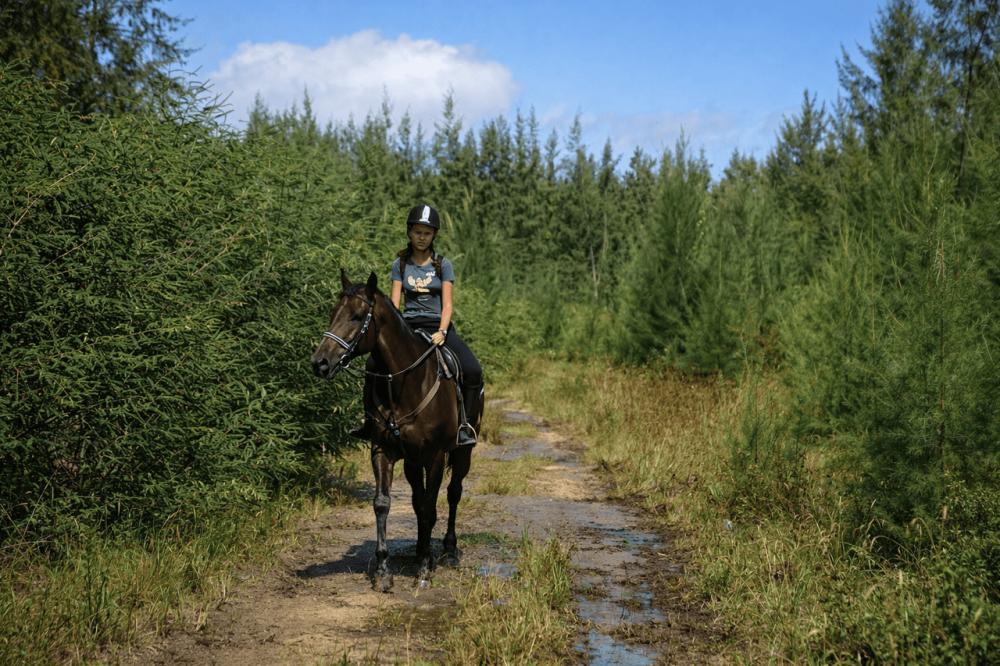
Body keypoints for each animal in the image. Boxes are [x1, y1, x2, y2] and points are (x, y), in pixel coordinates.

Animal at [311, 270, 476, 592]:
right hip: (412, 462)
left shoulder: (436, 457)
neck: (406, 383)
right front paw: (384, 571)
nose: (320, 363)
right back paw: (420, 549)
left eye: (357, 316)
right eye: (332, 313)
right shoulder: (382, 451)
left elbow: (431, 506)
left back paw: (448, 551)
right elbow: (383, 504)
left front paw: (424, 569)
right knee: (417, 500)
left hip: (462, 452)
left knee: (453, 493)